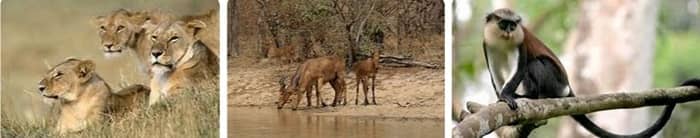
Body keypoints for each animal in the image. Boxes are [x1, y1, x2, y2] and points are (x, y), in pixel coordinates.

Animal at [482, 8, 700, 137]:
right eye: (503, 23)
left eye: (513, 25)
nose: (509, 31)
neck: (503, 42)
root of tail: (567, 88)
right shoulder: (487, 46)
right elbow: (495, 75)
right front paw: (501, 97)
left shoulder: (520, 43)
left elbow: (520, 68)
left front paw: (507, 95)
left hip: (555, 82)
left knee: (535, 64)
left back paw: (531, 95)